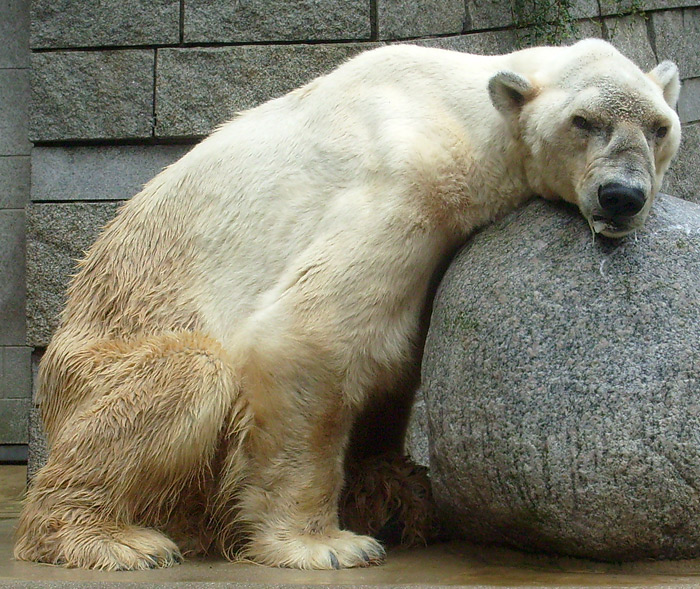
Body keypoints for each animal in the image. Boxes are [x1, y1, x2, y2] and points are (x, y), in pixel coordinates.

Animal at [15, 38, 680, 568]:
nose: (622, 195)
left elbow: (397, 361)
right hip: (94, 360)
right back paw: (111, 538)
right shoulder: (406, 182)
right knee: (187, 372)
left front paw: (391, 490)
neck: (462, 113)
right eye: (583, 121)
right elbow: (312, 338)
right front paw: (326, 543)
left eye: (660, 126)